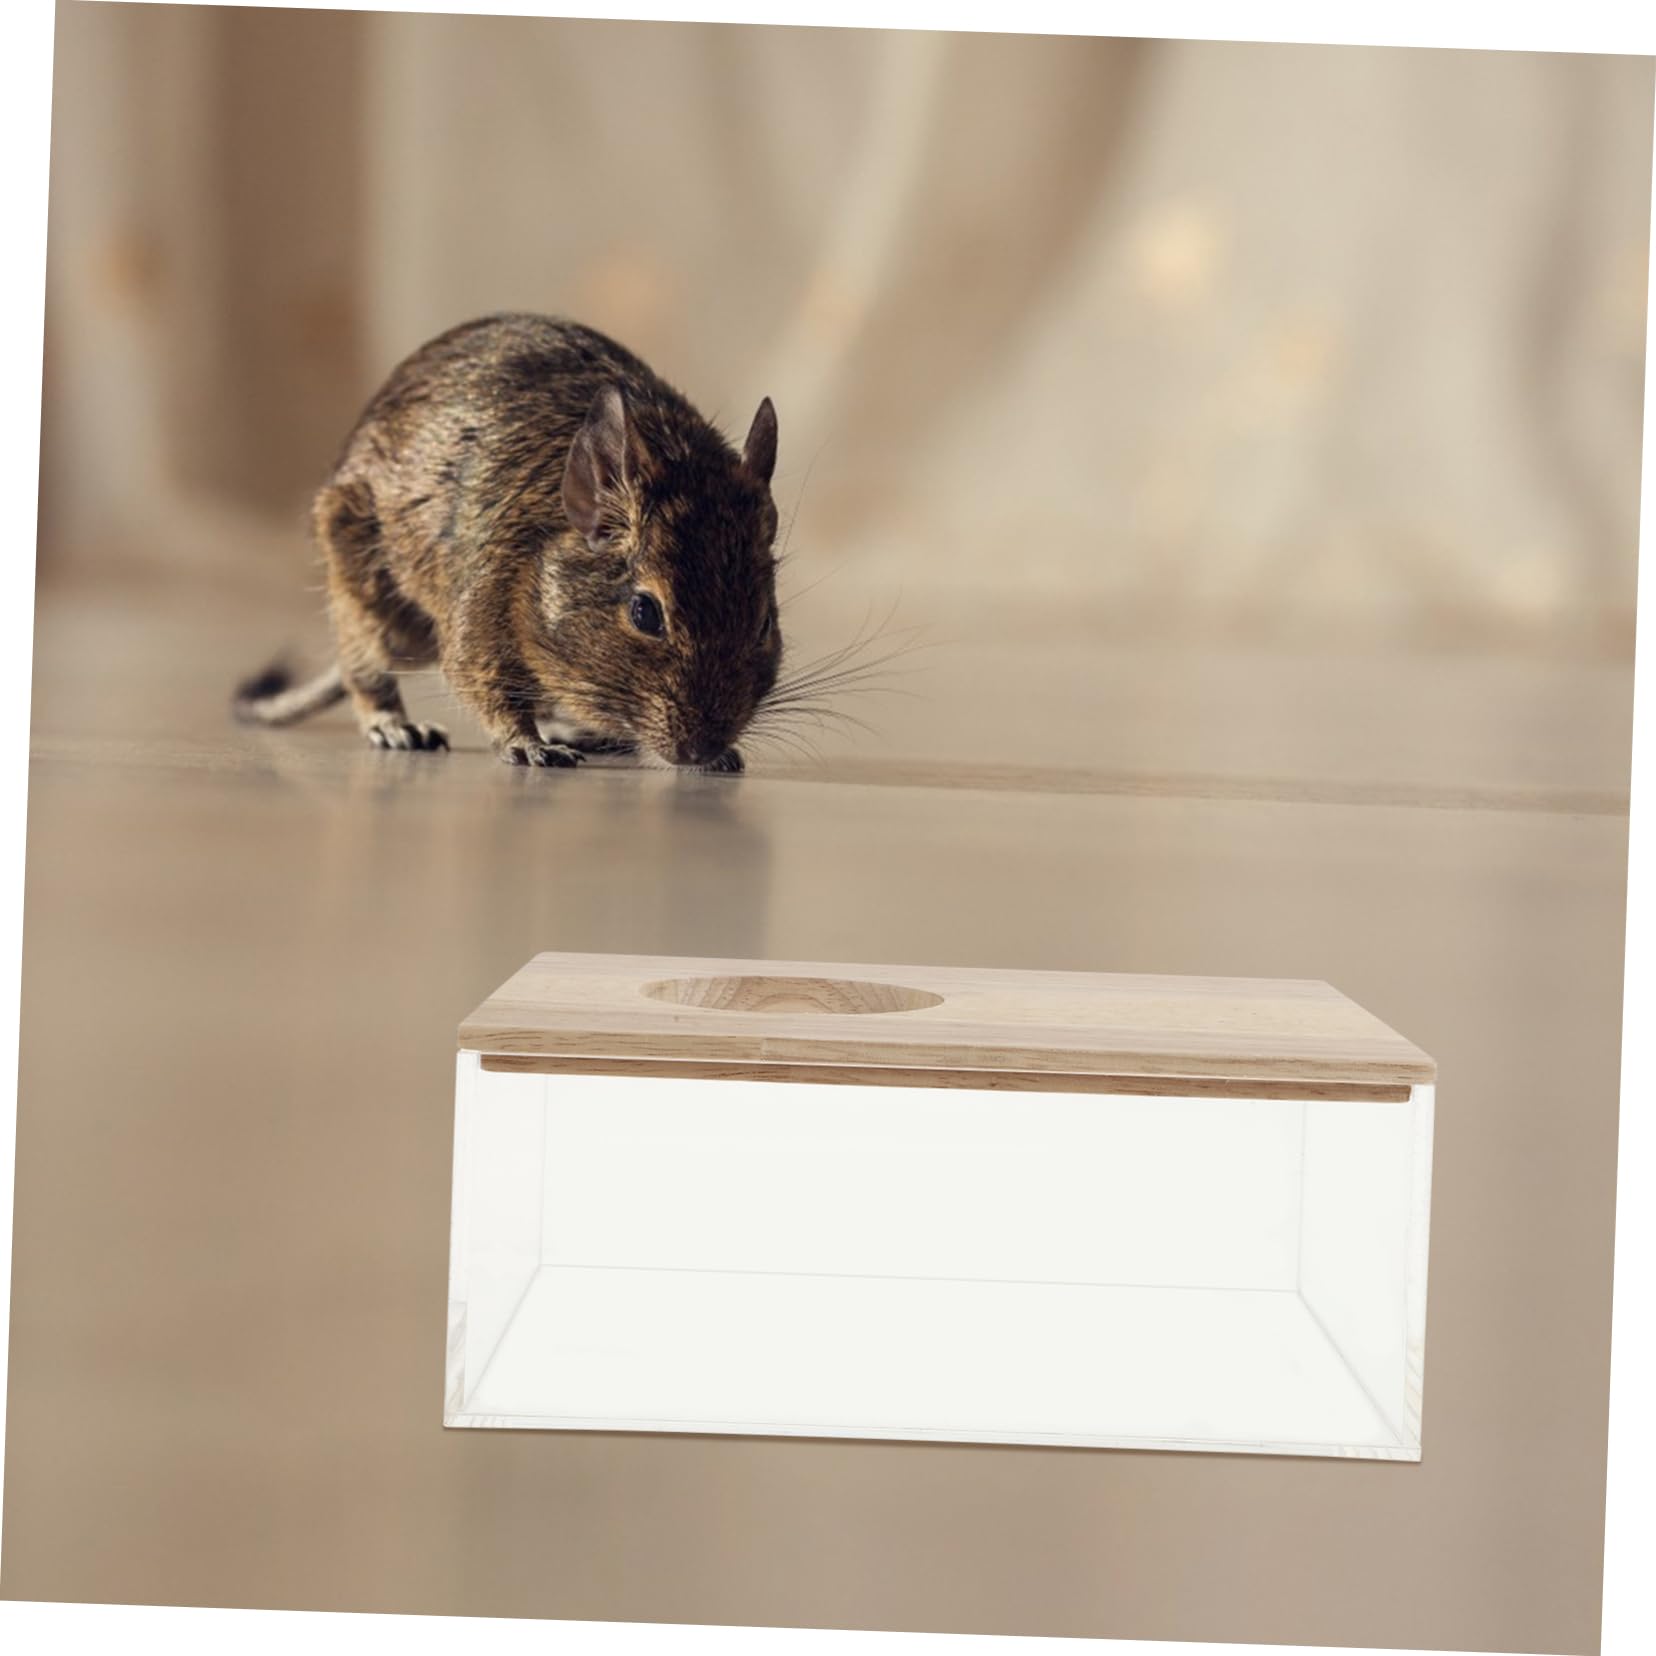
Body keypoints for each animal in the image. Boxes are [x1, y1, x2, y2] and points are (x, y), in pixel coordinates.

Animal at [233, 313, 782, 771]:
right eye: (645, 613)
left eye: (762, 623)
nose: (700, 751)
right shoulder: (477, 624)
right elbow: (490, 692)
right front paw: (529, 746)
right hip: (370, 595)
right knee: (362, 669)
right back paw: (398, 727)